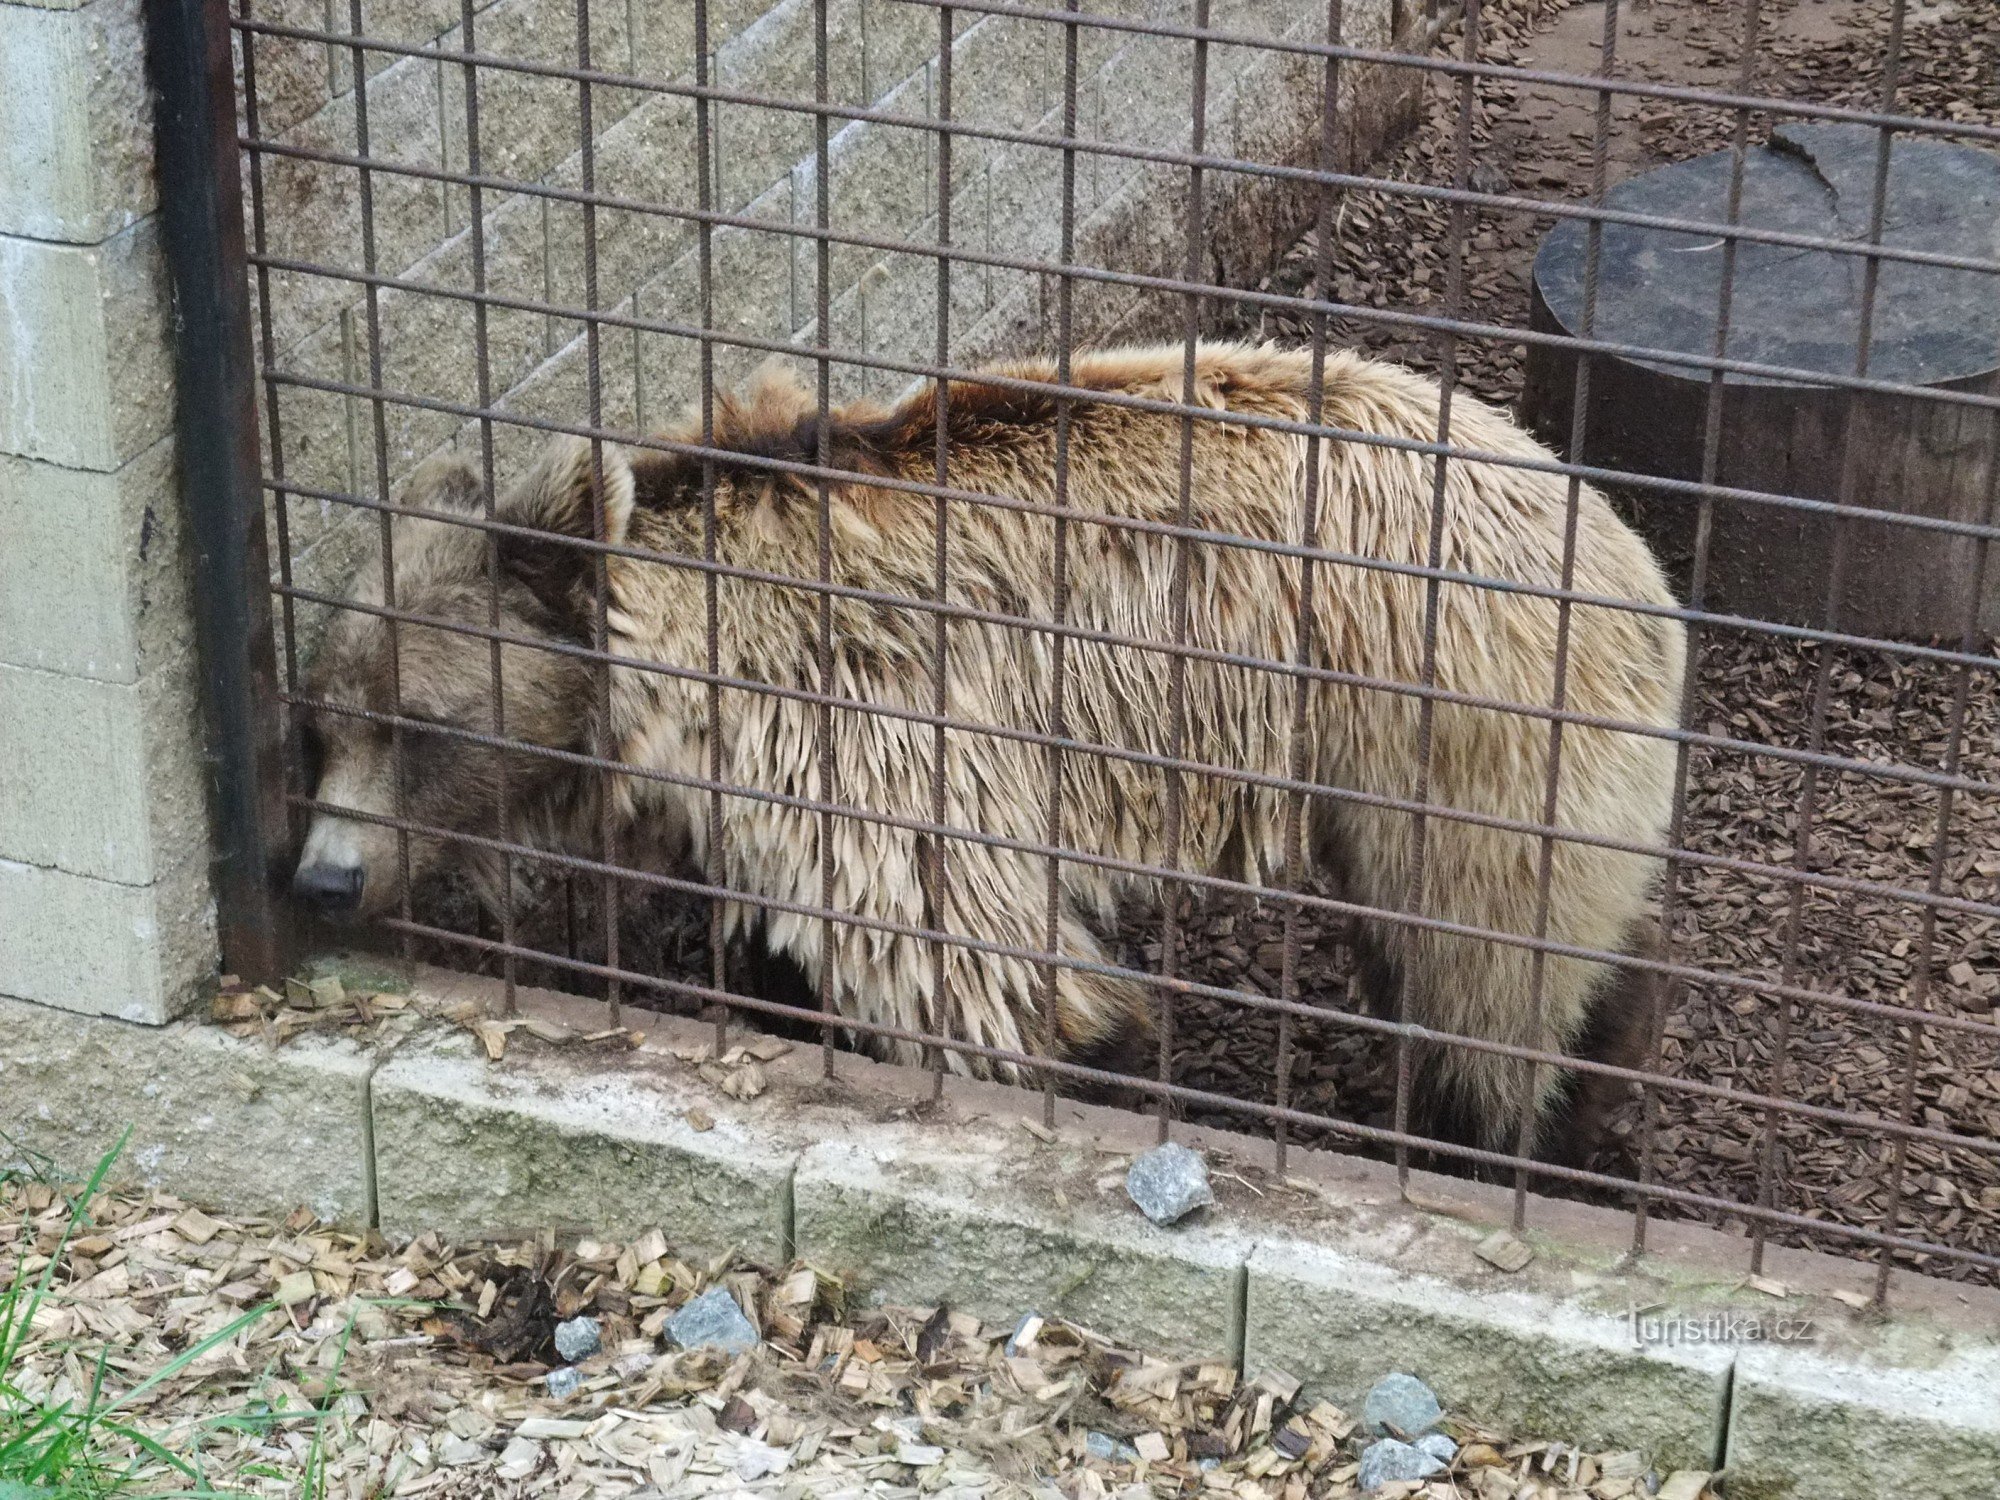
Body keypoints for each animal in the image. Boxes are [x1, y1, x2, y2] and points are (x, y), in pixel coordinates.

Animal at [290, 340, 1680, 1160]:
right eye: (326, 716)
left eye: (422, 727)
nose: (322, 877)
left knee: (1483, 960)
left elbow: (976, 972)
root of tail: (1612, 532)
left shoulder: (869, 725)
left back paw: (1488, 1123)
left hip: (1446, 705)